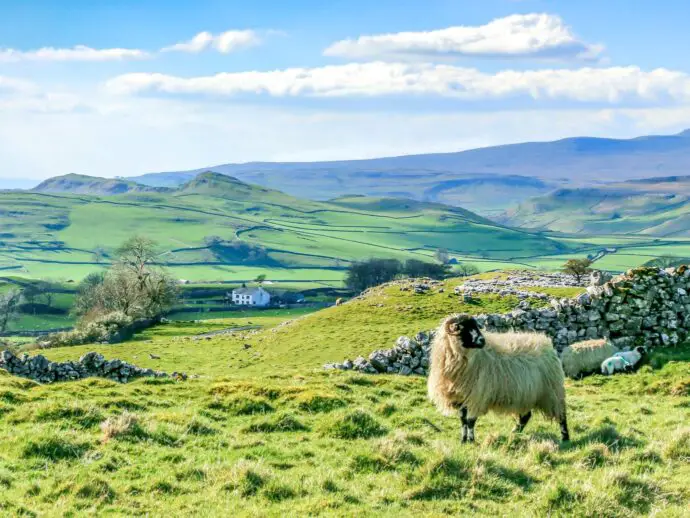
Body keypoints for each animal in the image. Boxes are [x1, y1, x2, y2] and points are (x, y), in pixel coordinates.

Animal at [428, 314, 568, 444]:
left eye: (476, 326)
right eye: (463, 327)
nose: (482, 340)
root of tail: (547, 344)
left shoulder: (477, 396)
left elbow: (470, 421)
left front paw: (471, 440)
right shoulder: (462, 397)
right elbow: (463, 421)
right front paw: (463, 440)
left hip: (552, 391)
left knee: (561, 415)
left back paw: (565, 438)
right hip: (526, 394)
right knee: (525, 416)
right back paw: (515, 433)